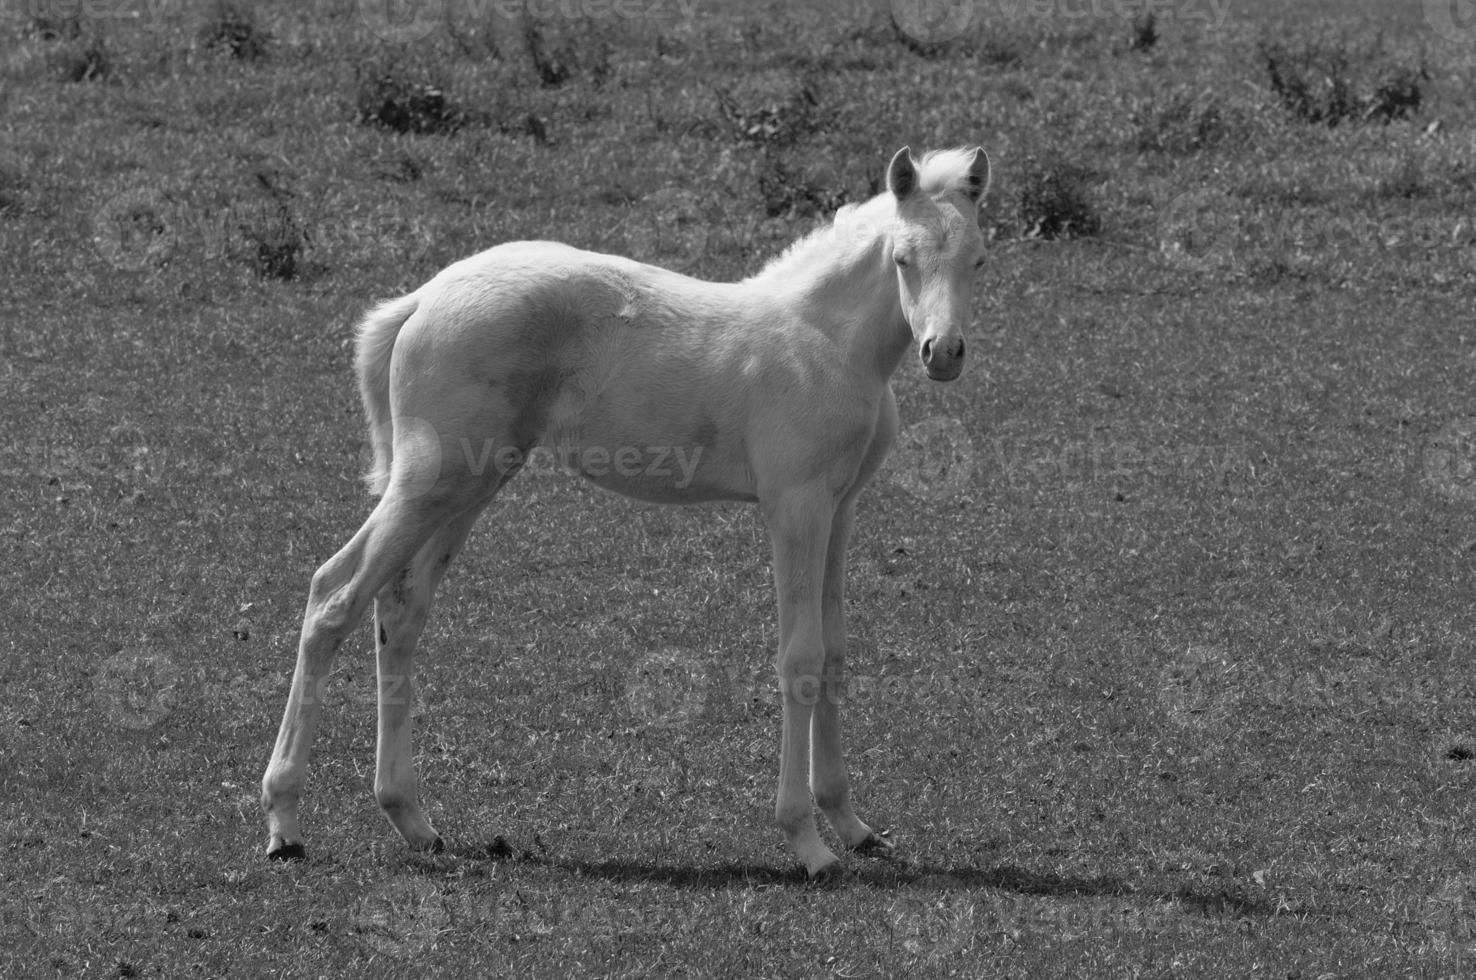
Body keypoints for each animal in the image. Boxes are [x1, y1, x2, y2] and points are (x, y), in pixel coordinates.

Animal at [264, 145, 991, 879]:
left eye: (979, 259)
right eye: (902, 257)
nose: (944, 353)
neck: (825, 342)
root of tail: (421, 299)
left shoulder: (840, 508)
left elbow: (836, 649)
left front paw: (853, 825)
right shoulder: (796, 506)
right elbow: (801, 656)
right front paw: (808, 844)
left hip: (469, 483)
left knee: (400, 610)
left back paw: (411, 818)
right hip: (430, 480)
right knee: (332, 596)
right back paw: (285, 824)